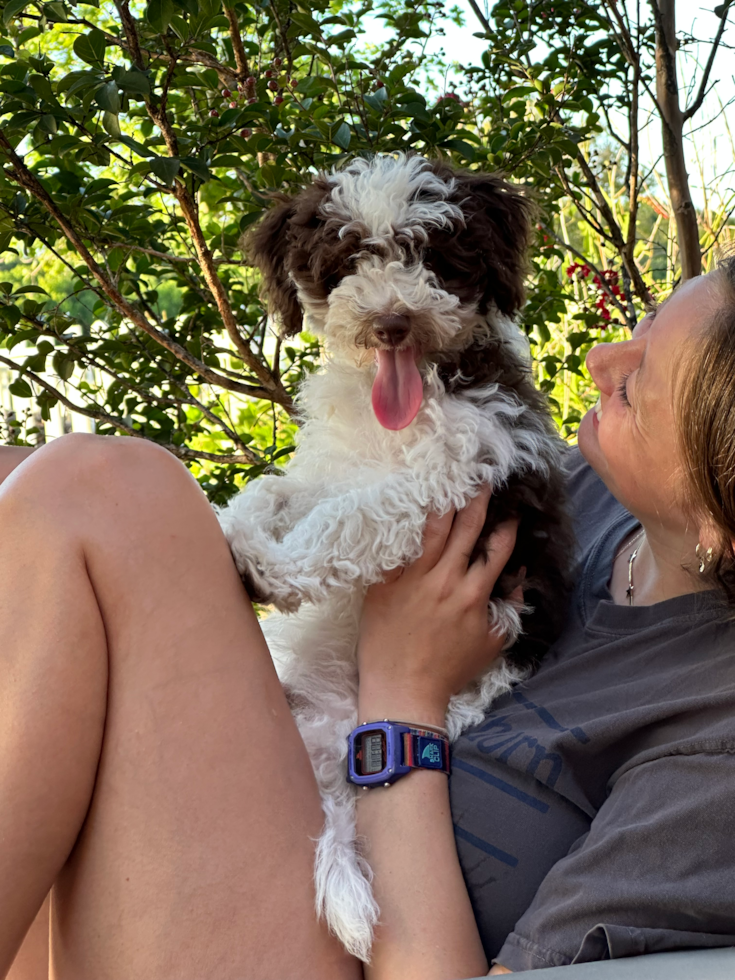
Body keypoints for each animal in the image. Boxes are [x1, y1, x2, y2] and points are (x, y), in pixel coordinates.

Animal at [218, 153, 576, 956]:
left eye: (434, 257)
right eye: (348, 259)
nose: (391, 322)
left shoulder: (460, 474)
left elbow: (355, 515)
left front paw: (280, 571)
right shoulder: (327, 469)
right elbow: (276, 490)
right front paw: (242, 534)